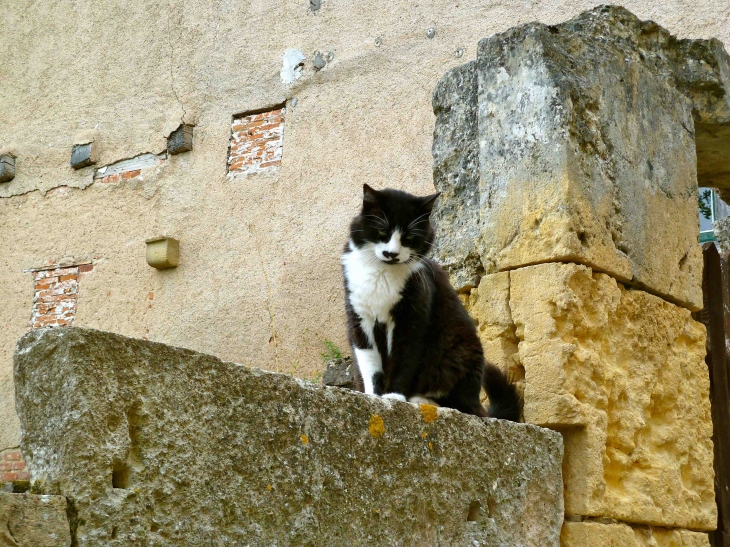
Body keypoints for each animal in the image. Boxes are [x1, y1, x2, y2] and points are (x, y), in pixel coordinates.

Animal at [338, 186, 520, 422]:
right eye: (383, 232)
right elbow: (369, 363)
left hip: (456, 350)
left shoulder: (412, 319)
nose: (391, 253)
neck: (382, 272)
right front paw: (373, 396)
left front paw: (394, 396)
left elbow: (404, 359)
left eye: (409, 237)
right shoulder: (359, 318)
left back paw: (421, 400)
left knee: (461, 404)